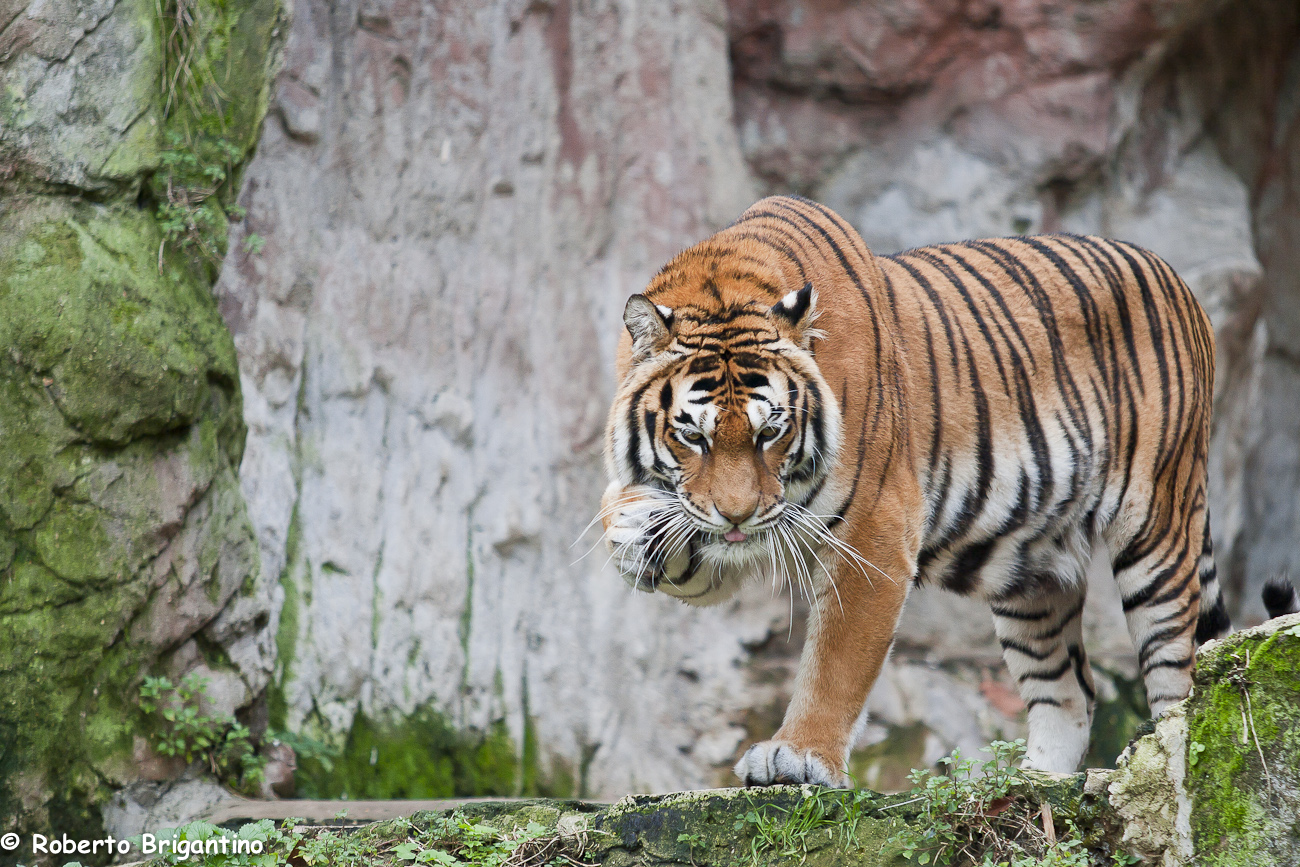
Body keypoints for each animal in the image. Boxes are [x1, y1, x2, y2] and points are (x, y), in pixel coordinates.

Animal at [599, 194, 1262, 787]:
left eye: (771, 432)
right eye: (693, 435)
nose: (738, 517)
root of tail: (1175, 277)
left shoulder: (876, 530)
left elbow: (836, 661)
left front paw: (798, 757)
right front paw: (632, 528)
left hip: (1157, 522)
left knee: (1178, 670)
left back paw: (1162, 758)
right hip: (1033, 570)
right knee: (1071, 691)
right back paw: (1031, 783)